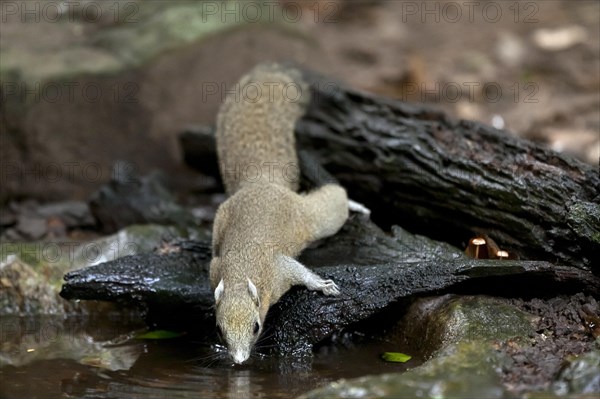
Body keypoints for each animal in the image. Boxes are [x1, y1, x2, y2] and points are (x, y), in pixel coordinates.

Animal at [211, 63, 370, 366]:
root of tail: (261, 180)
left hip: (317, 218)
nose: (239, 361)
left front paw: (323, 286)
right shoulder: (216, 269)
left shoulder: (279, 269)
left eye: (256, 327)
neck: (240, 269)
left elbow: (301, 273)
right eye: (219, 330)